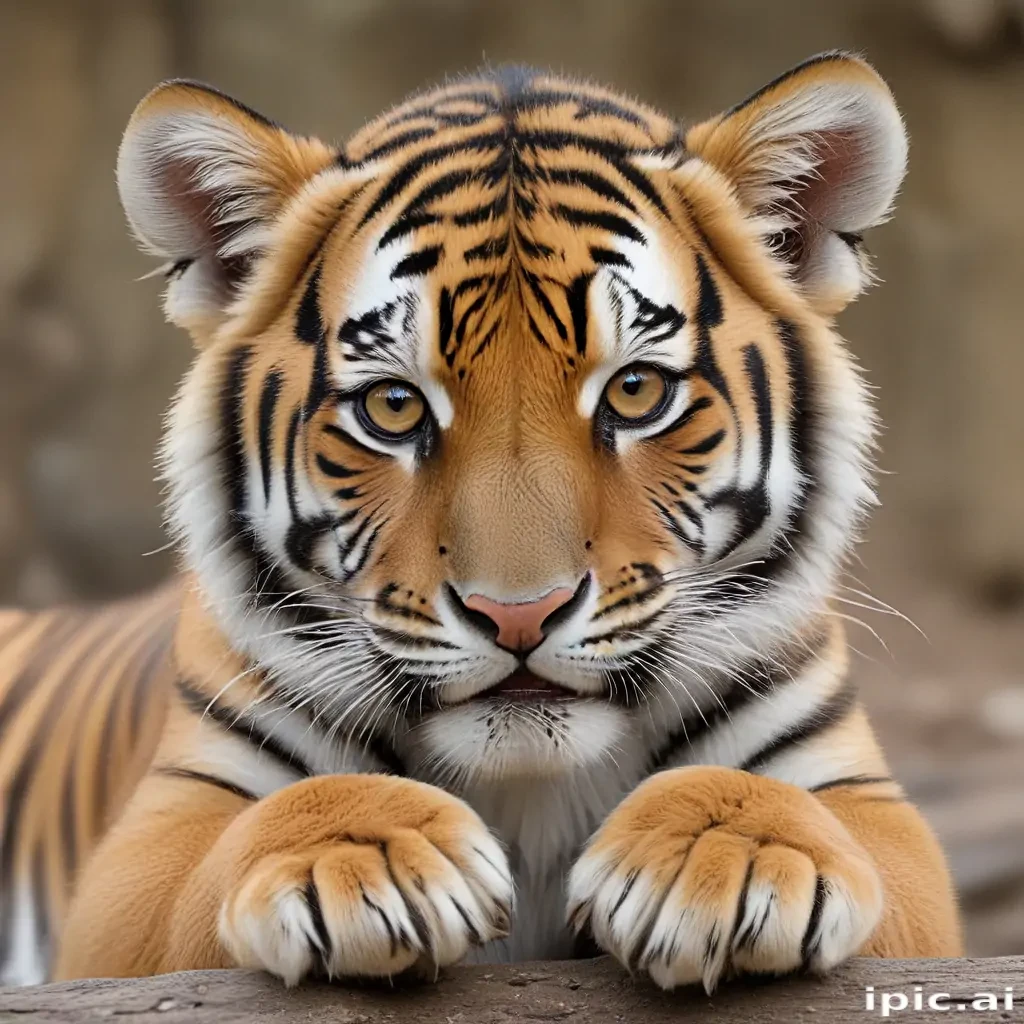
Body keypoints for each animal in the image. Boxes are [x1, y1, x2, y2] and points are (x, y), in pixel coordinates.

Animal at [0, 53, 961, 992]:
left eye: (635, 391)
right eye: (392, 407)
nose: (519, 616)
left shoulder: (871, 811)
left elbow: (810, 818)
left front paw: (726, 850)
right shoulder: (146, 849)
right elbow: (244, 836)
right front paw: (363, 853)